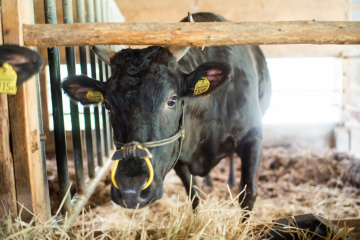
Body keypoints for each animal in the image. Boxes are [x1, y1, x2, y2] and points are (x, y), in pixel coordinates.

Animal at [62, 12, 270, 210]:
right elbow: (194, 195)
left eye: (172, 100)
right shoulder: (177, 155)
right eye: (107, 105)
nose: (130, 190)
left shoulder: (254, 136)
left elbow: (248, 195)